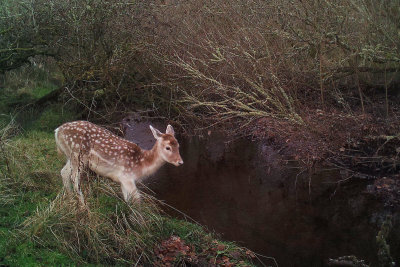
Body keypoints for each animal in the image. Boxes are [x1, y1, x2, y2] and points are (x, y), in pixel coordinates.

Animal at [54, 120, 183, 204]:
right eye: (168, 147)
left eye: (178, 145)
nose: (180, 162)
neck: (141, 164)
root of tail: (57, 131)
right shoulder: (126, 176)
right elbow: (137, 199)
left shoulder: (122, 181)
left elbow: (128, 199)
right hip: (78, 154)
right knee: (74, 178)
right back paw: (83, 205)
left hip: (71, 156)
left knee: (63, 172)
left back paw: (71, 199)